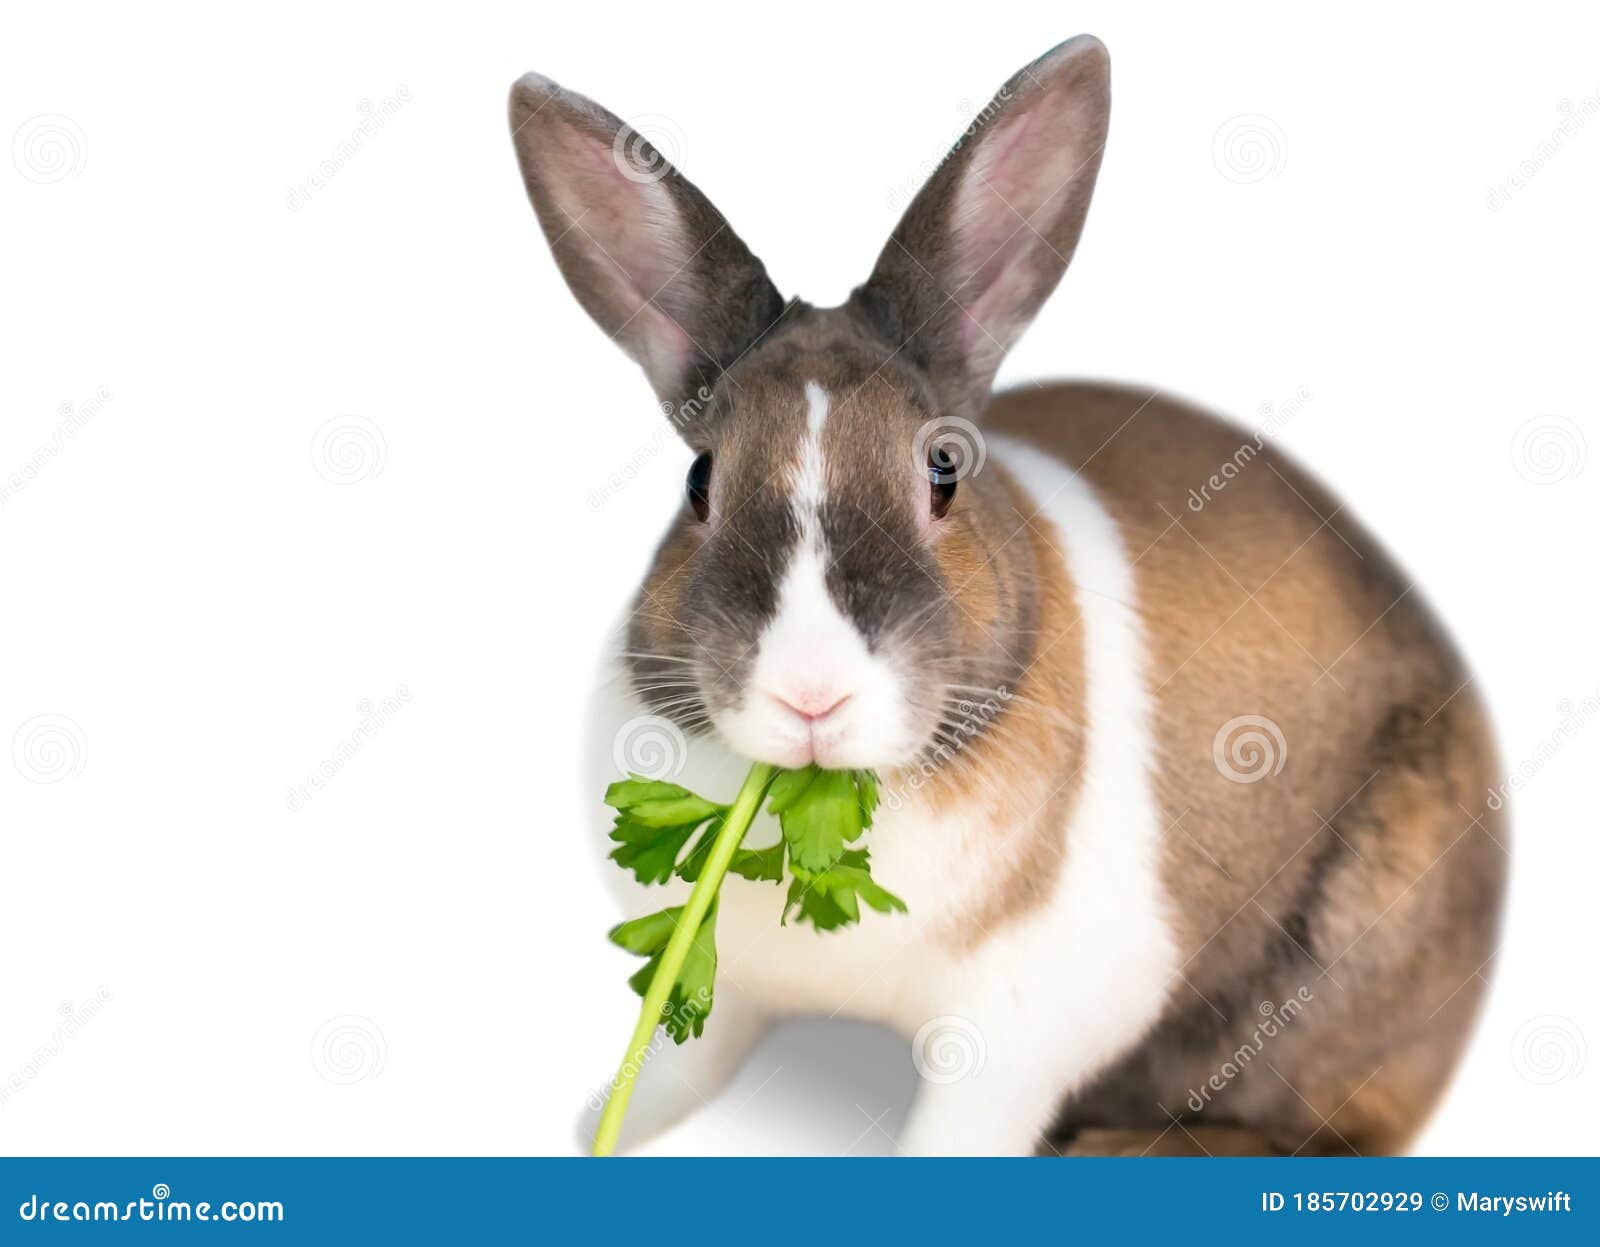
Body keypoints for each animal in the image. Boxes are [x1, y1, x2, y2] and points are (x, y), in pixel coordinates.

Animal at [508, 35, 1507, 1156]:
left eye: (943, 469)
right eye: (699, 481)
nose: (811, 694)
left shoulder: (1028, 1016)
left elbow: (963, 1115)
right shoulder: (720, 984)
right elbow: (685, 1056)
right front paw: (603, 1124)